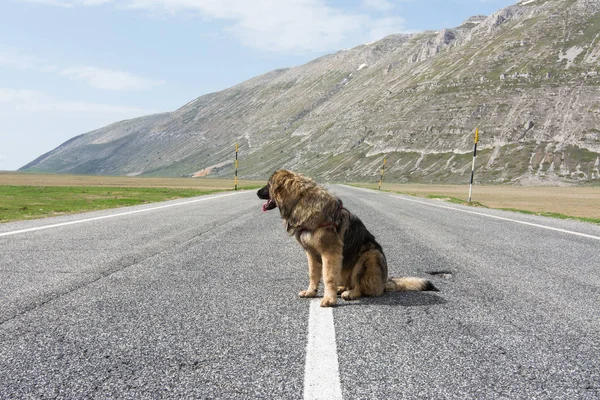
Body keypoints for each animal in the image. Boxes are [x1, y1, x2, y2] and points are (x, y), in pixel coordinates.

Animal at [256, 168, 436, 306]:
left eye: (268, 185)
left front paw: (329, 300)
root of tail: (384, 283)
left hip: (370, 256)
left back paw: (349, 293)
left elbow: (328, 277)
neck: (299, 201)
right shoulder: (311, 254)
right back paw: (341, 288)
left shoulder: (330, 253)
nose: (257, 192)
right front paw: (310, 292)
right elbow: (313, 275)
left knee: (362, 288)